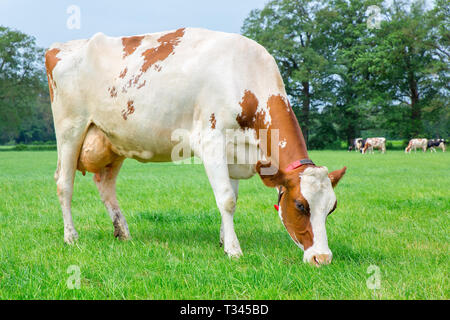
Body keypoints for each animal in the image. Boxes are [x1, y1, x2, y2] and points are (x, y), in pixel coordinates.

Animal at [45, 27, 346, 266]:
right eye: (300, 205)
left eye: (331, 207)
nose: (322, 258)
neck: (243, 75)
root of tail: (59, 47)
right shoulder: (212, 142)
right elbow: (226, 199)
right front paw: (234, 250)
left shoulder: (235, 153)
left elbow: (233, 198)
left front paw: (224, 240)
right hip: (70, 130)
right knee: (64, 184)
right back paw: (71, 237)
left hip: (113, 140)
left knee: (105, 185)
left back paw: (123, 233)